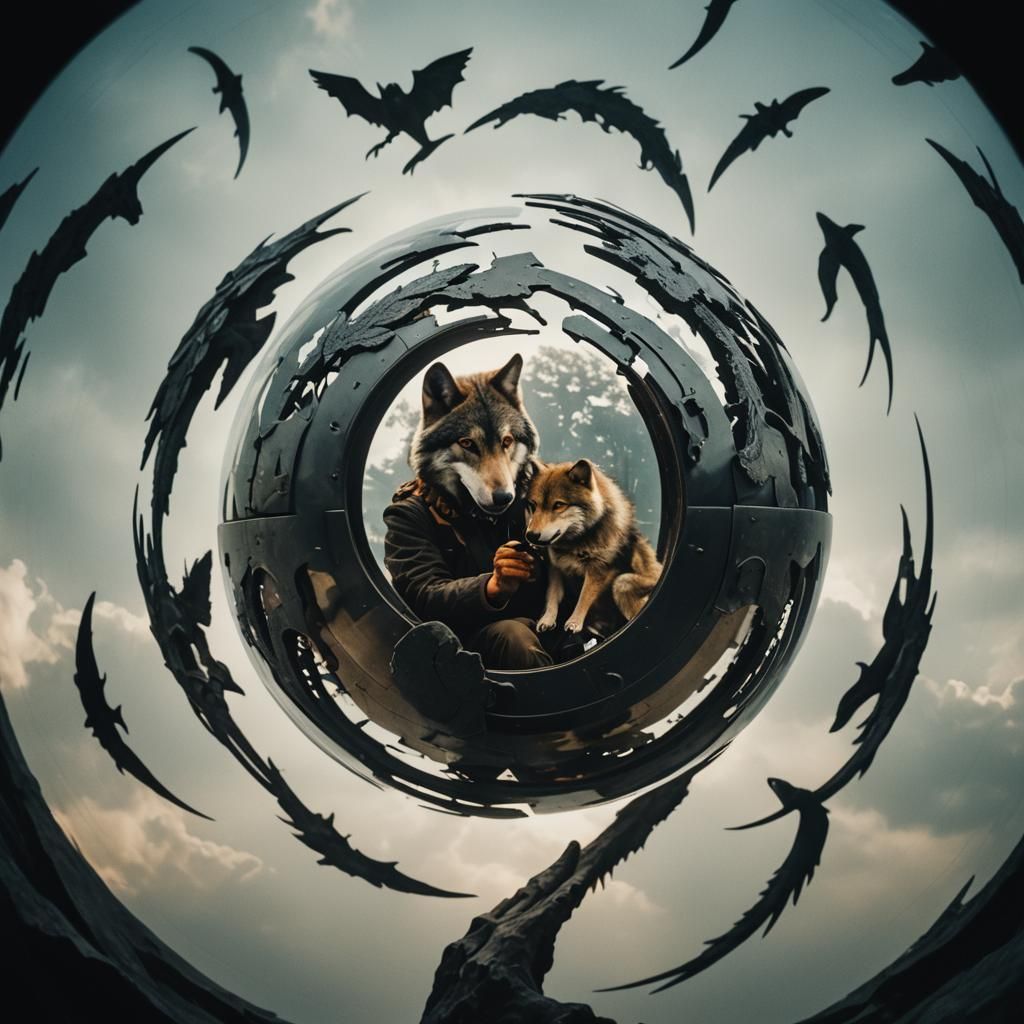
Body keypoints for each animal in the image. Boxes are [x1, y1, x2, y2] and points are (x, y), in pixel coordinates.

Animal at [525, 459, 662, 634]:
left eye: (558, 505)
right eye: (533, 505)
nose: (531, 535)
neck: (576, 542)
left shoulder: (597, 571)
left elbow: (584, 597)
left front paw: (574, 623)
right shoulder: (556, 568)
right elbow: (552, 595)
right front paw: (547, 620)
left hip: (621, 584)